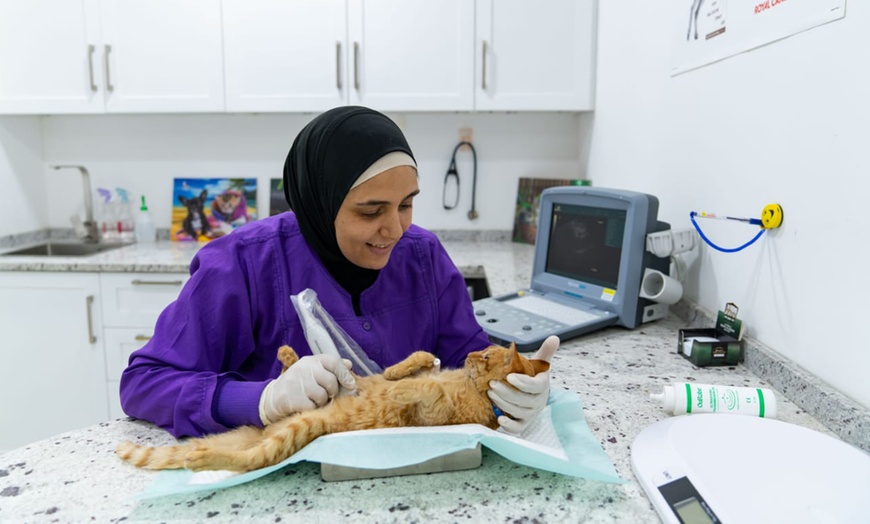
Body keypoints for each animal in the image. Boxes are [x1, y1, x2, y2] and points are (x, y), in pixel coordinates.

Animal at [116, 342, 552, 472]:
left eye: (487, 356)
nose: (472, 353)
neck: (470, 386)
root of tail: (262, 430)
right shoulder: (428, 368)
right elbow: (420, 361)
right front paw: (397, 371)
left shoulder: (433, 413)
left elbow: (423, 388)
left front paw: (396, 392)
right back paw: (290, 357)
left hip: (286, 439)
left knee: (247, 461)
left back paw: (204, 457)